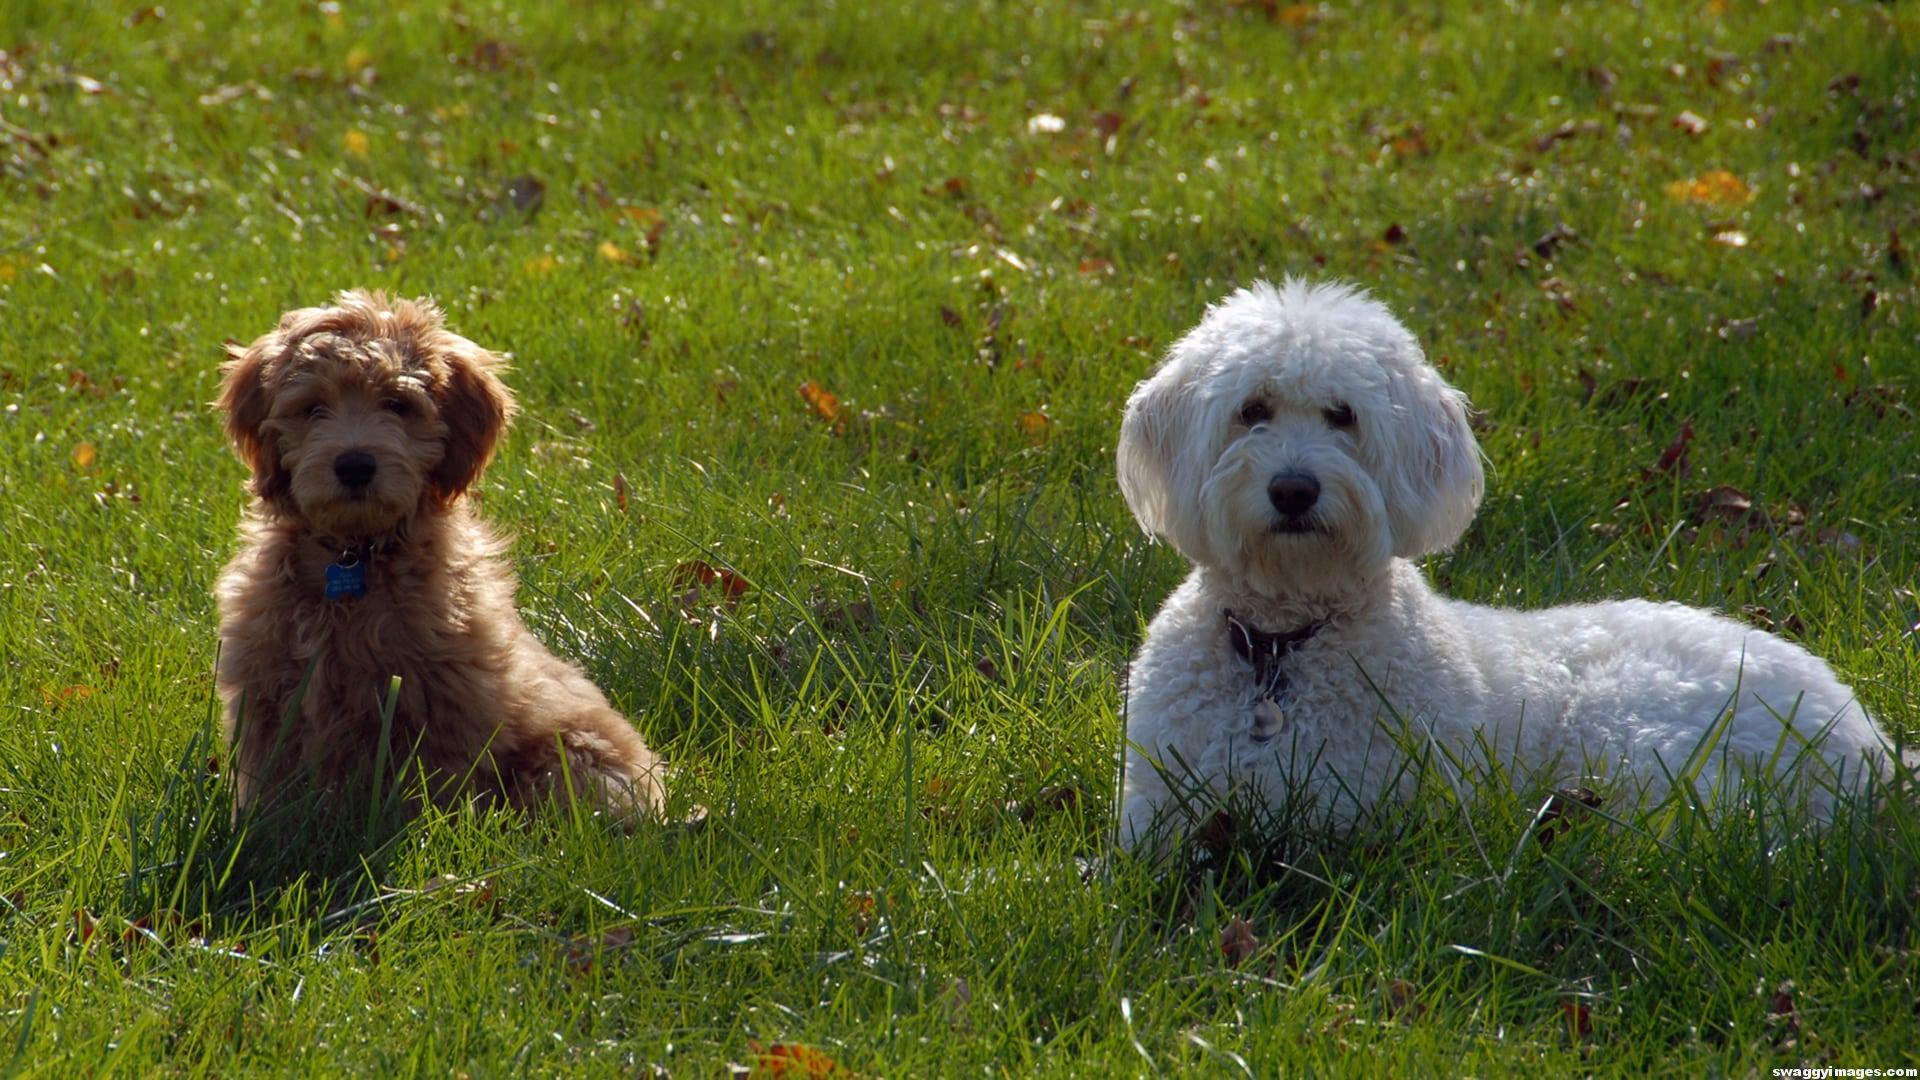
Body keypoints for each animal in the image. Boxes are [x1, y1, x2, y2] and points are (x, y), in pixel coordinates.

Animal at [213, 290, 664, 818]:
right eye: (313, 407)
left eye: (398, 404)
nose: (355, 465)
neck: (353, 558)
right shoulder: (267, 687)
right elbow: (271, 783)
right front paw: (258, 828)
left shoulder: (444, 697)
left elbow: (434, 785)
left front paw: (430, 828)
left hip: (573, 757)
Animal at [1121, 282, 1896, 853]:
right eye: (1252, 409)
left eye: (1343, 416)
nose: (1293, 489)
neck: (1281, 647)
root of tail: (1870, 742)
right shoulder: (1154, 806)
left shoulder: (1350, 806)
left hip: (1639, 726)